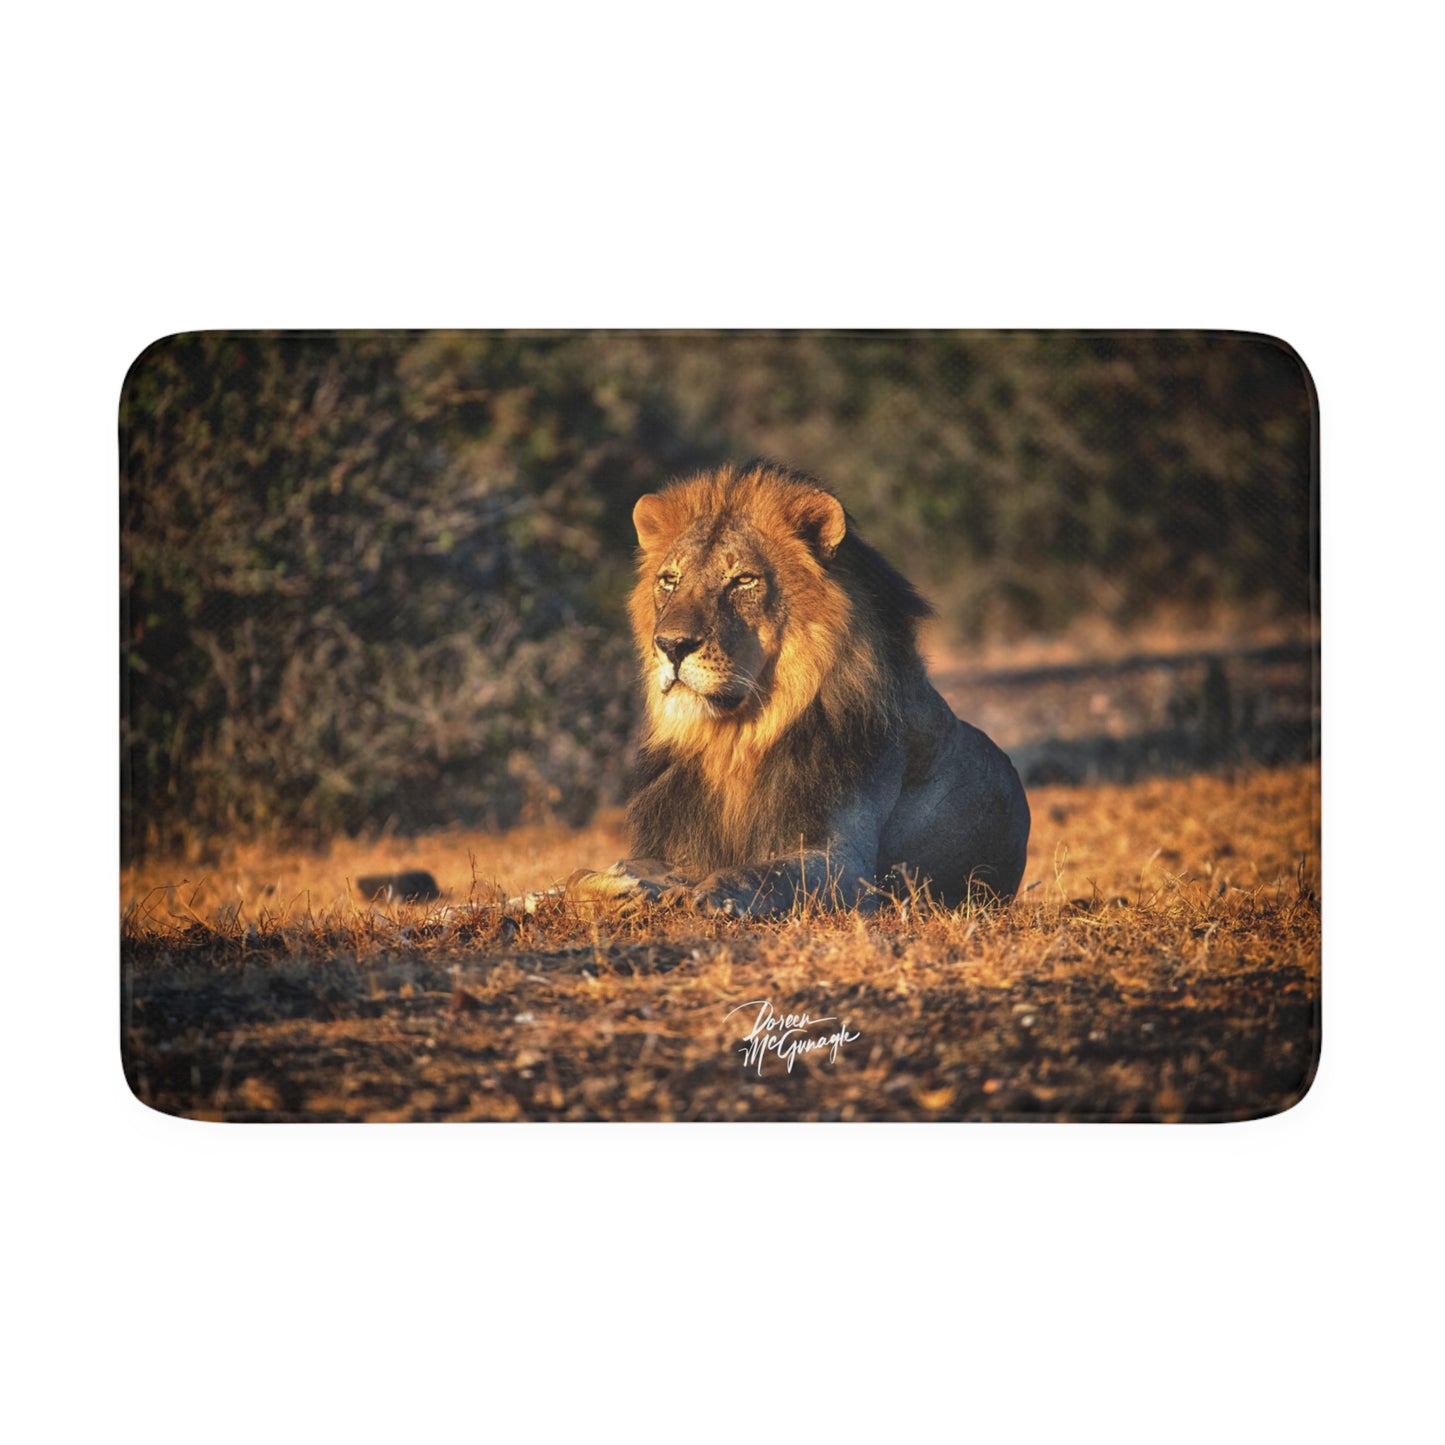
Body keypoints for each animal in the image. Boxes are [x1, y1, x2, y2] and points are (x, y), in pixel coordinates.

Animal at [569, 461, 1030, 916]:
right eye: (669, 580)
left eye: (743, 580)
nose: (670, 645)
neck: (735, 740)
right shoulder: (678, 849)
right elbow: (582, 874)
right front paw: (611, 885)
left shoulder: (847, 865)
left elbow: (762, 873)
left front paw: (709, 895)